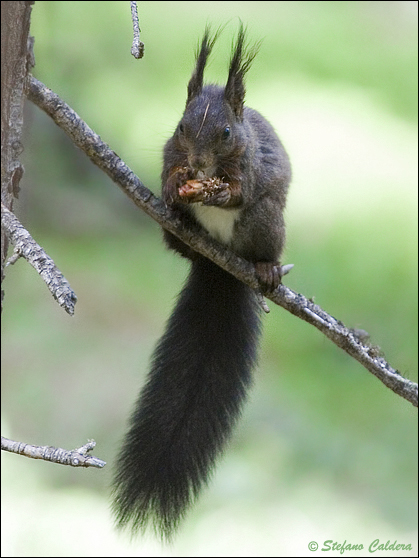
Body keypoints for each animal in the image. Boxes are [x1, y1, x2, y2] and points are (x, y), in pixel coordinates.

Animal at [112, 26, 292, 544]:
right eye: (180, 128)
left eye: (226, 133)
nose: (197, 160)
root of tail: (221, 267)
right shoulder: (170, 152)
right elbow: (167, 172)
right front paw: (178, 185)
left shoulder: (250, 166)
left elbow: (240, 189)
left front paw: (219, 190)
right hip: (177, 234)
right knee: (178, 242)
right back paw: (180, 223)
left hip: (265, 223)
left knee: (260, 226)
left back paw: (267, 269)